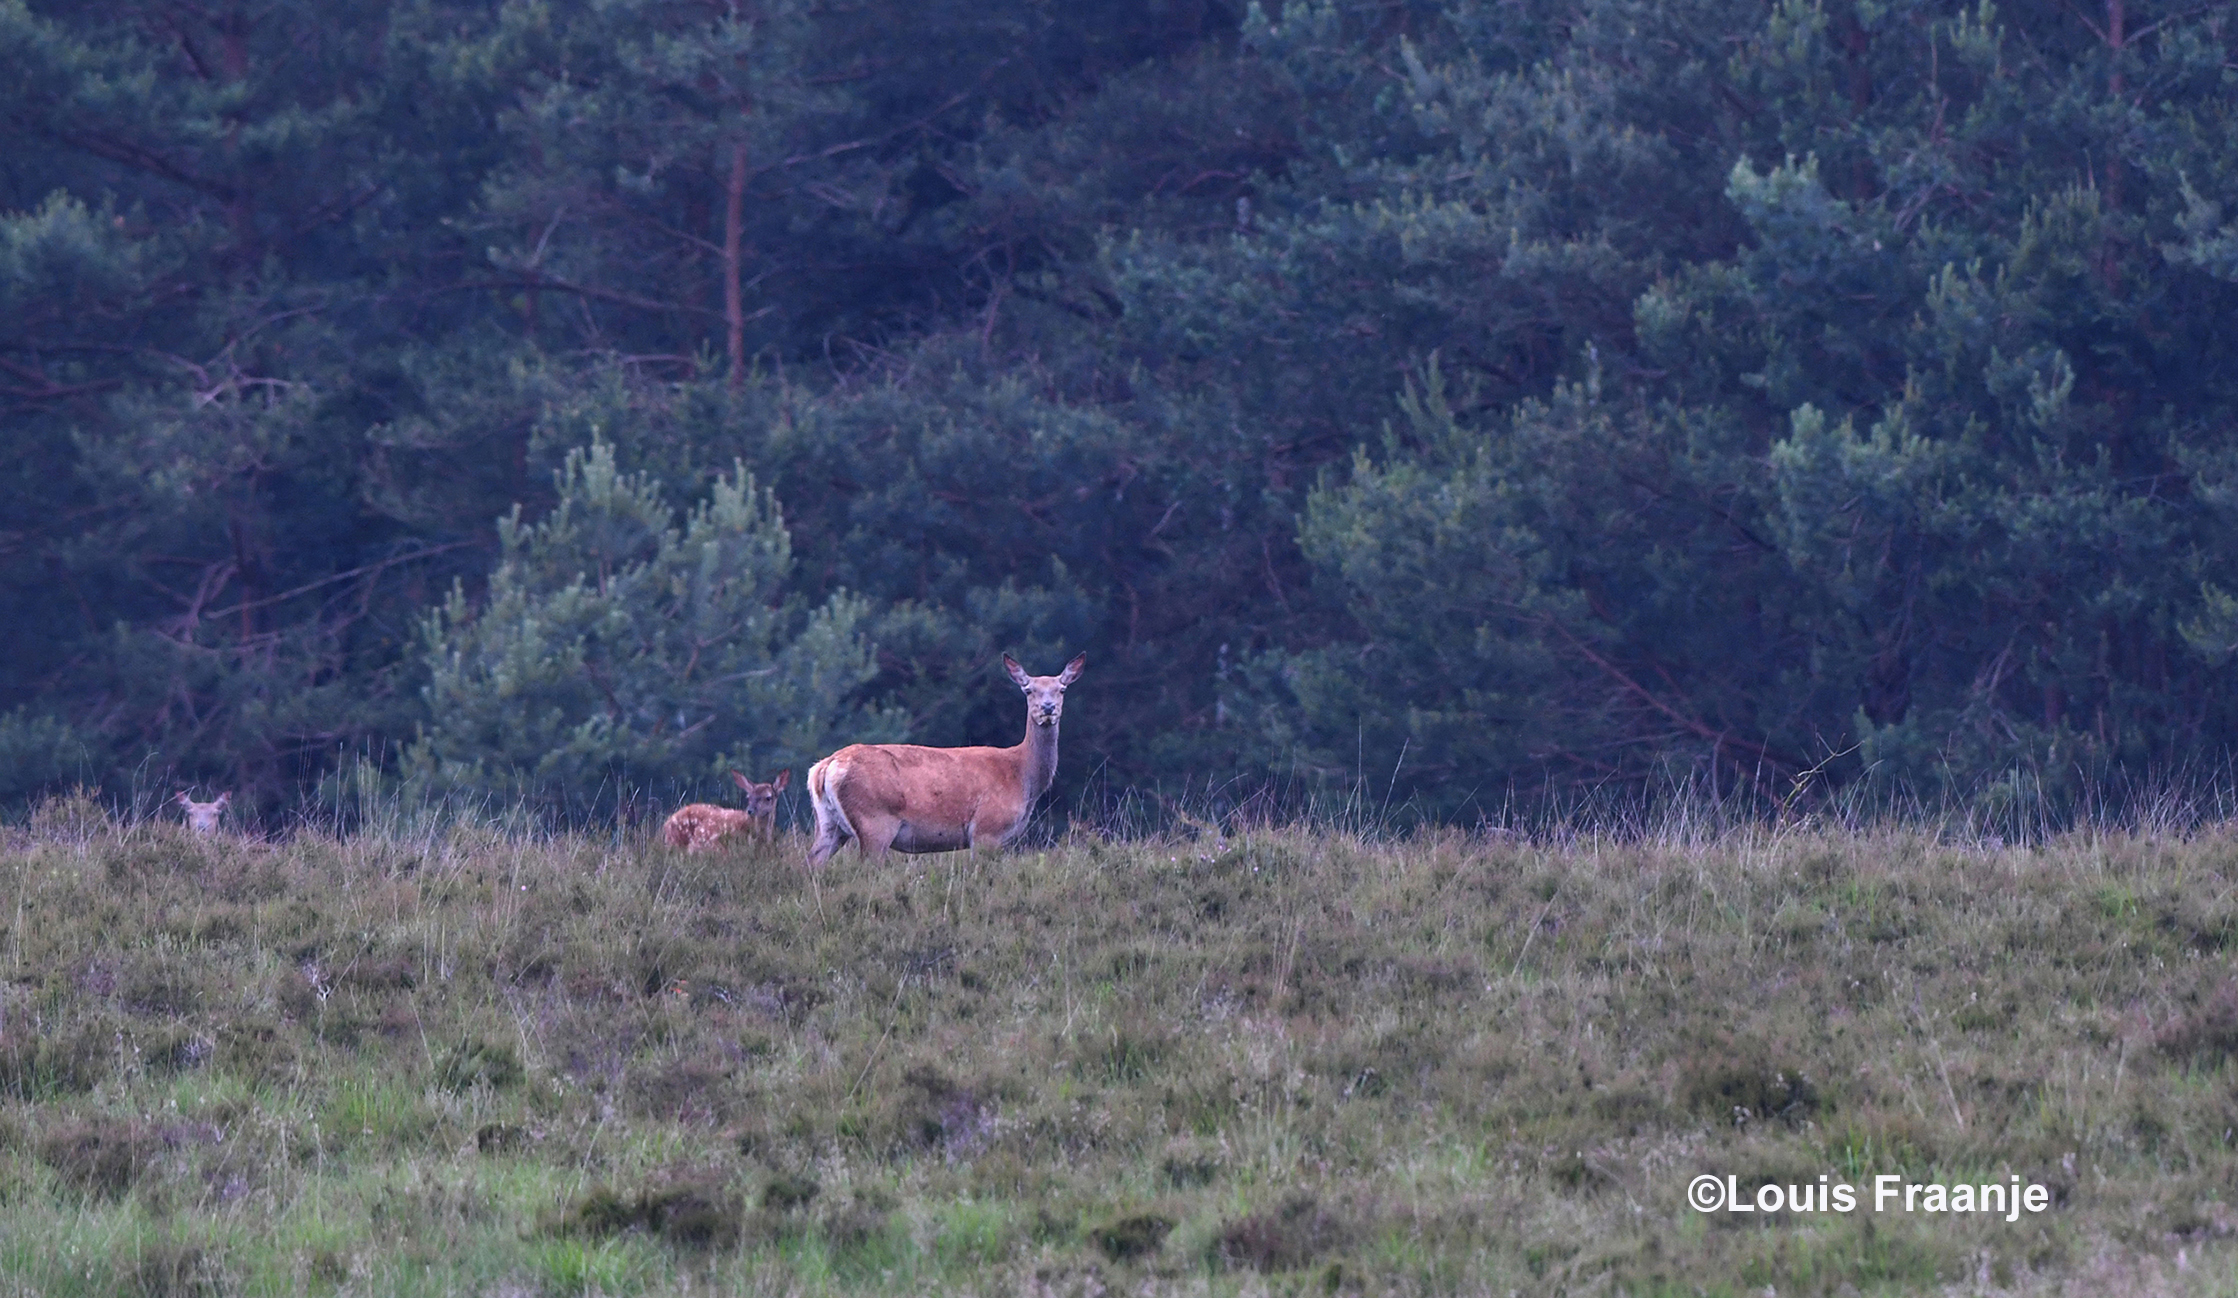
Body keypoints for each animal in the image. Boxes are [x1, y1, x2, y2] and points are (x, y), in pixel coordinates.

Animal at [805, 653, 1083, 868]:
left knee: (812, 861)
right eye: (1028, 690)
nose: (1048, 708)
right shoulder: (987, 829)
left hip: (828, 822)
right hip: (874, 821)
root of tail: (824, 767)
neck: (1022, 777)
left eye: (1061, 689)